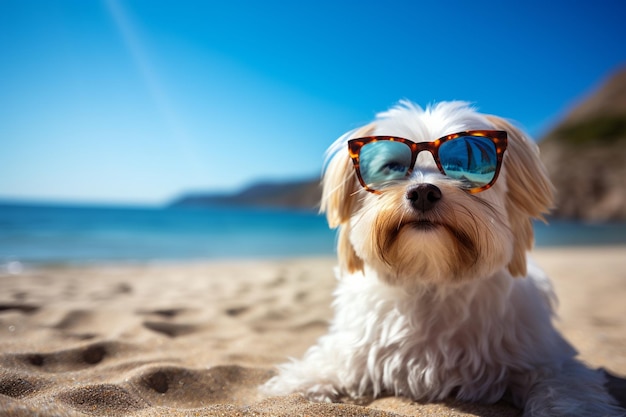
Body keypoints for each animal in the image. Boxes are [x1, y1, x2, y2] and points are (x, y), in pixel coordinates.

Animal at [260, 101, 620, 416]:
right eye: (392, 167)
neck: (430, 278)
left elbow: (566, 388)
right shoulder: (353, 348)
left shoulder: (546, 358)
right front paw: (292, 386)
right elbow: (318, 369)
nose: (423, 192)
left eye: (465, 165)